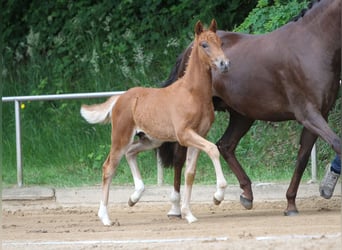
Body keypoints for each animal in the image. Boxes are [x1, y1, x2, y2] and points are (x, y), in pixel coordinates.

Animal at [81, 20, 230, 225]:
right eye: (204, 45)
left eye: (221, 43)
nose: (224, 64)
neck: (193, 94)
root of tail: (119, 98)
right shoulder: (184, 135)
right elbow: (213, 149)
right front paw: (218, 196)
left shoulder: (198, 135)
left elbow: (190, 173)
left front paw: (188, 214)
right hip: (121, 137)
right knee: (108, 167)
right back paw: (105, 217)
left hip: (151, 140)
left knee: (130, 153)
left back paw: (134, 197)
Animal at [159, 0, 340, 216]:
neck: (312, 44)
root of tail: (189, 49)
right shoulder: (309, 114)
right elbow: (336, 144)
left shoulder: (320, 114)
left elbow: (303, 157)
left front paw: (291, 204)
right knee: (180, 156)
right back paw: (176, 207)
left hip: (242, 115)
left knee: (225, 145)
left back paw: (246, 194)